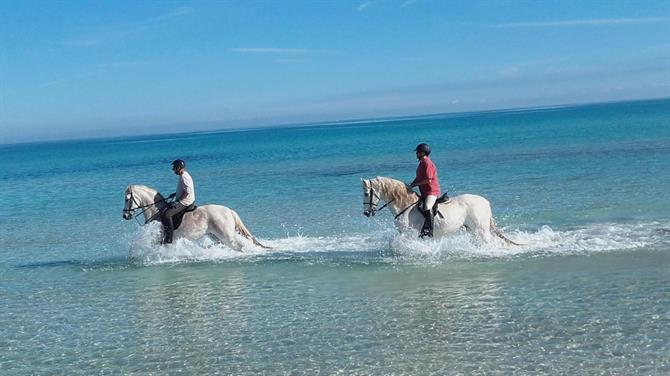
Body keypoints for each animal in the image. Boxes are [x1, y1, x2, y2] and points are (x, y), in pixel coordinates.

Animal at [122, 184, 270, 251]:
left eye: (127, 199)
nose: (125, 215)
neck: (156, 211)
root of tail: (229, 211)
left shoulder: (157, 239)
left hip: (226, 236)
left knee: (239, 246)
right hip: (216, 236)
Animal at [364, 176, 524, 244]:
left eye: (366, 193)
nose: (366, 213)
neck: (405, 206)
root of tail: (485, 202)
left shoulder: (409, 233)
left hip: (481, 229)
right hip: (472, 229)